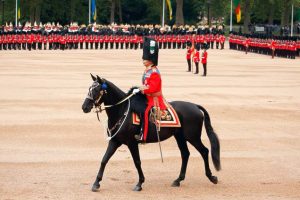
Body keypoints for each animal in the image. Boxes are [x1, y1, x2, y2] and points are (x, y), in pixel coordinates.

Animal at [82, 74, 220, 191]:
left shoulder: (132, 143)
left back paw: (211, 177)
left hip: (192, 137)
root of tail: (195, 106)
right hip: (180, 137)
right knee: (185, 154)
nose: (84, 107)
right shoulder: (115, 141)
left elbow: (137, 162)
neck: (121, 110)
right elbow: (104, 160)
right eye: (89, 89)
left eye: (96, 90)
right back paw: (178, 180)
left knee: (204, 151)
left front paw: (139, 183)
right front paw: (96, 183)